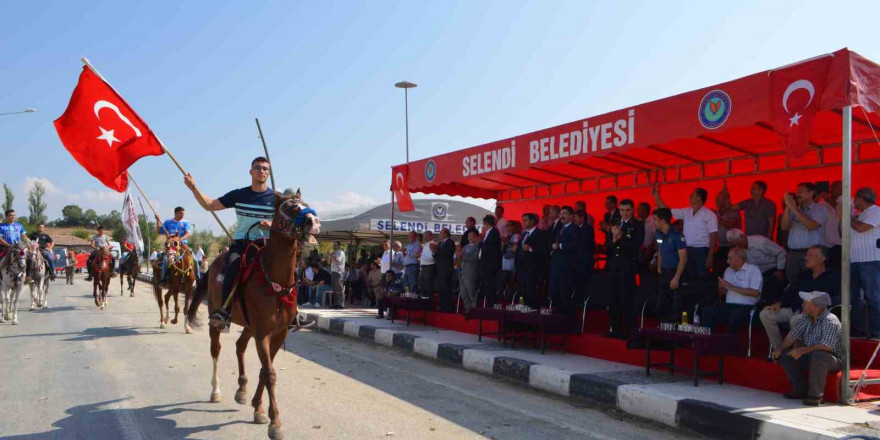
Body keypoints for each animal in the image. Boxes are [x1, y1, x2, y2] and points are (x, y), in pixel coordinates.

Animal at [186, 190, 320, 440]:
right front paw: (275, 422)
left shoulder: (278, 334)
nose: (313, 221)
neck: (276, 282)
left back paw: (241, 389)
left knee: (239, 346)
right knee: (216, 350)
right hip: (217, 321)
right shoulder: (263, 334)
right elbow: (270, 373)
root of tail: (215, 262)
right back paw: (216, 391)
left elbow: (264, 371)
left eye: (305, 203)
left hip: (249, 326)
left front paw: (258, 408)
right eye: (289, 207)